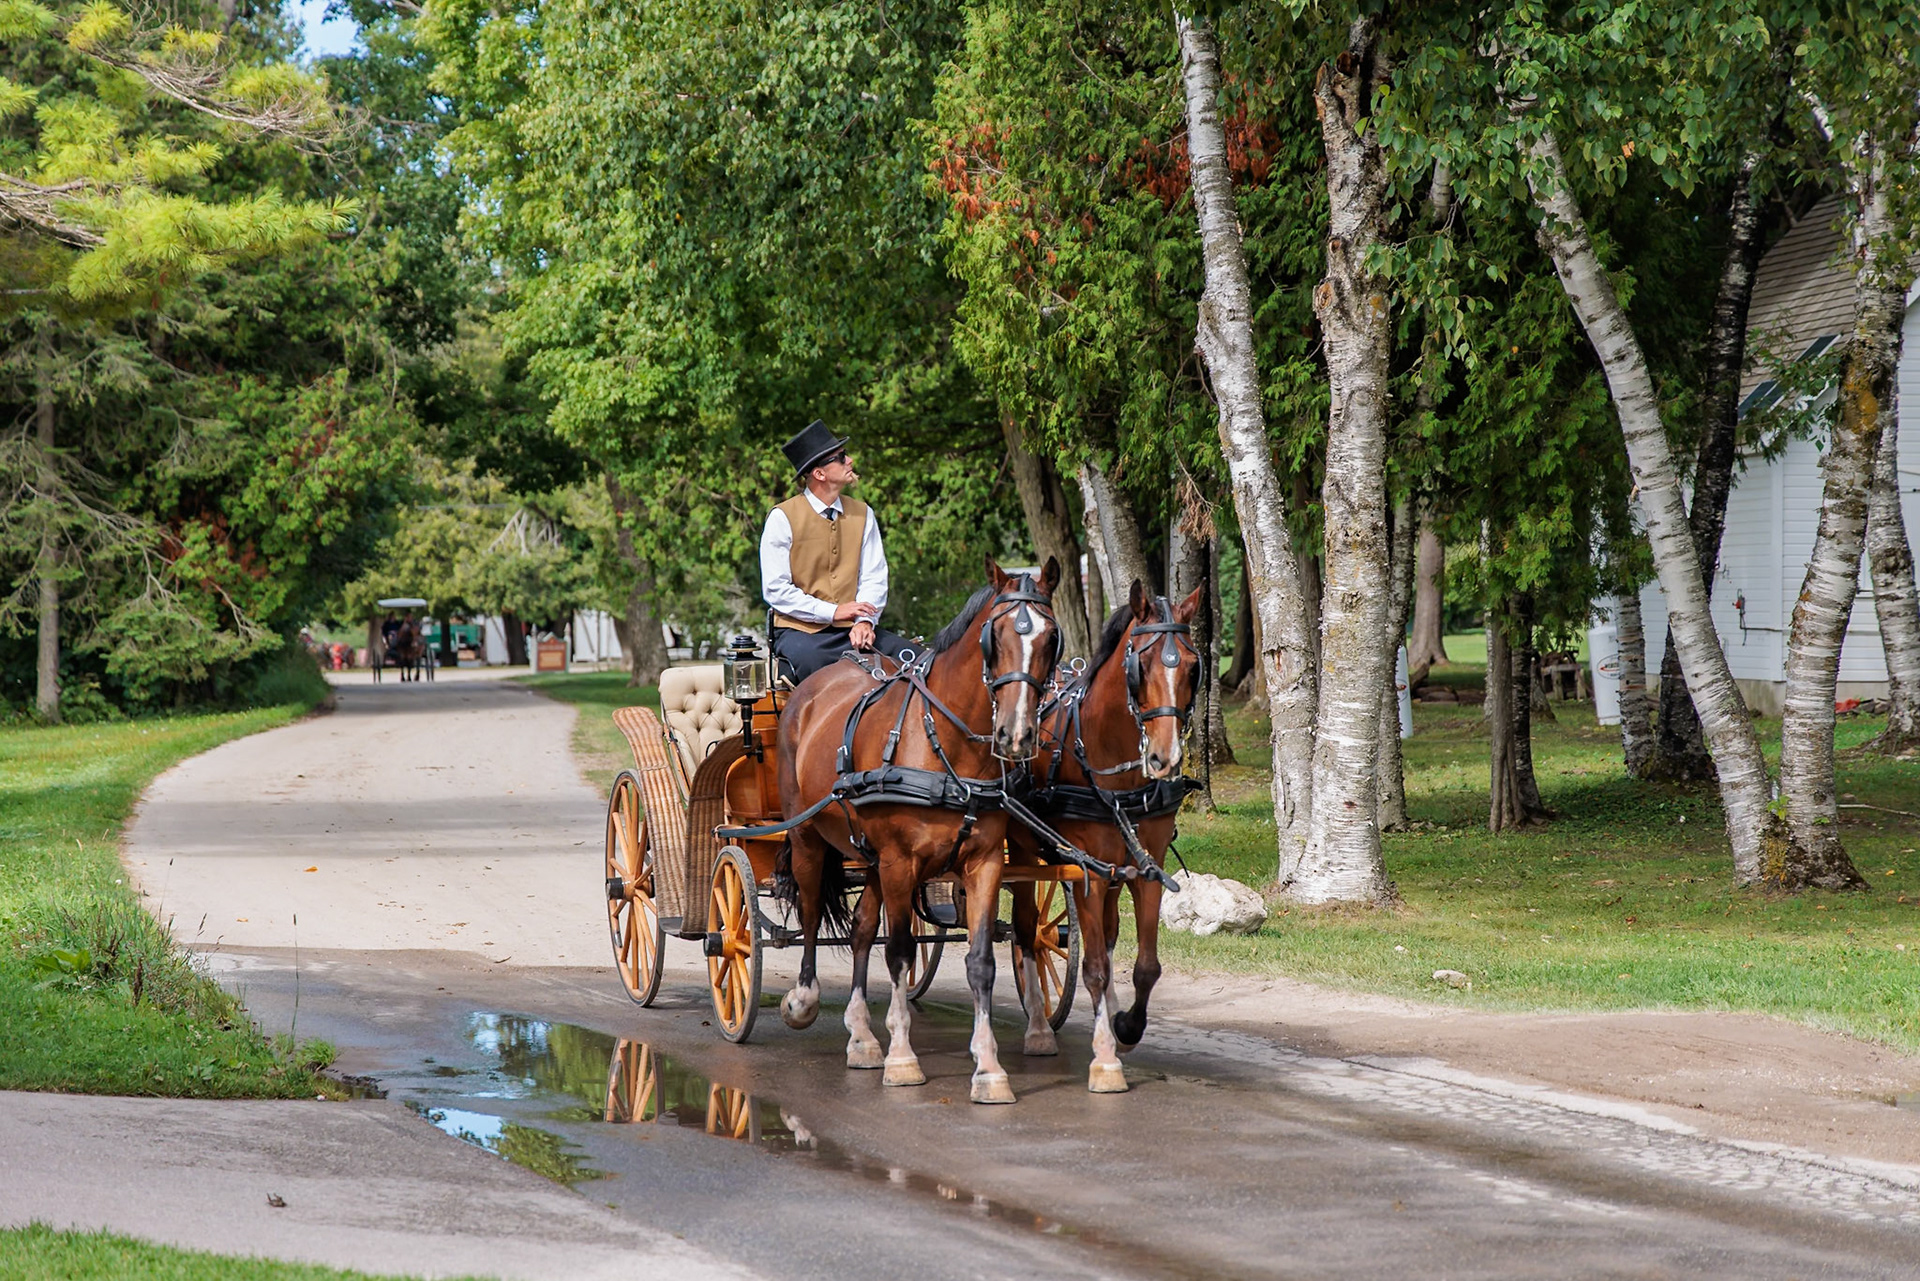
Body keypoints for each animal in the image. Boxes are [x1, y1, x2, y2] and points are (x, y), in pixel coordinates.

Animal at [773, 556, 1063, 1105]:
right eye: (995, 637)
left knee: (863, 927)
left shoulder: (983, 862)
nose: (1016, 735)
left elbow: (979, 961)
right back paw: (804, 1000)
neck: (946, 746)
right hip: (809, 839)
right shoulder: (899, 862)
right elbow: (902, 951)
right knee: (810, 907)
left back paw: (862, 1035)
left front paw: (989, 1068)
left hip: (869, 857)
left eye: (1051, 638)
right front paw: (903, 1058)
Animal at [1007, 581, 1203, 1087]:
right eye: (1140, 665)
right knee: (1026, 932)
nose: (1164, 758)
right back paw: (1039, 1029)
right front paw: (1105, 1058)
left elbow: (1146, 966)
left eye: (1192, 665)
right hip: (1023, 851)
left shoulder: (1147, 867)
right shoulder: (1088, 874)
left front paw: (1126, 1026)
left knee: (1109, 933)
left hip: (1117, 867)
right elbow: (1093, 966)